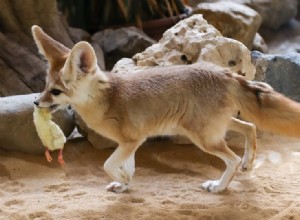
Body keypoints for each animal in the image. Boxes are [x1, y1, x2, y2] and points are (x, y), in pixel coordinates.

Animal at [31, 25, 300, 192]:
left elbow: (108, 165)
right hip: (215, 127)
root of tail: (224, 73)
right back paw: (248, 163)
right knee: (250, 127)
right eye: (45, 87)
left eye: (56, 92)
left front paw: (123, 180)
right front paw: (125, 185)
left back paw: (220, 187)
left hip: (203, 138)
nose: (36, 102)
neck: (107, 98)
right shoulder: (132, 143)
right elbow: (127, 166)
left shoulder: (131, 141)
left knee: (232, 158)